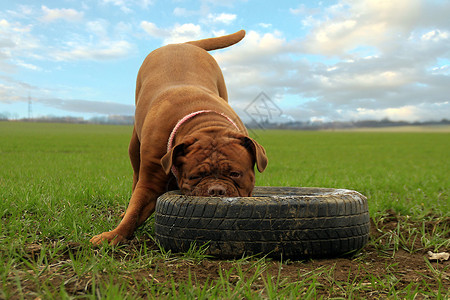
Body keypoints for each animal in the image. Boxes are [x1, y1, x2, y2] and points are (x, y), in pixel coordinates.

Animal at [90, 29, 268, 246]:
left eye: (235, 174)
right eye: (195, 176)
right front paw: (113, 235)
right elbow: (135, 210)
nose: (216, 191)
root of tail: (182, 43)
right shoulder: (150, 182)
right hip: (134, 145)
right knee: (135, 176)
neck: (205, 122)